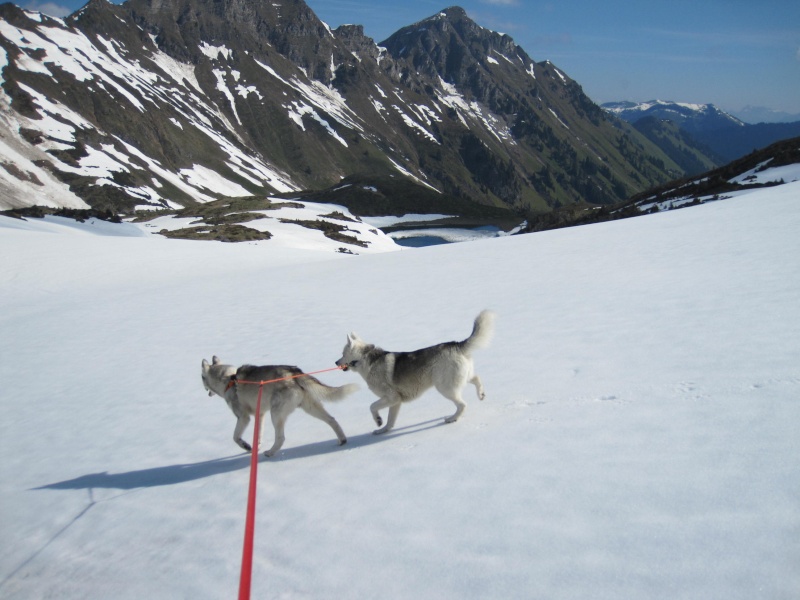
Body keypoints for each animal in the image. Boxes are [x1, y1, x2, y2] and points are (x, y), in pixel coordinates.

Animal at [202, 356, 358, 454]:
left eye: (202, 379)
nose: (206, 394)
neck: (229, 379)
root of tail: (294, 372)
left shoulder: (243, 417)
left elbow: (235, 437)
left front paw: (246, 446)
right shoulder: (260, 415)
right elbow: (258, 435)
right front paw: (255, 448)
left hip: (276, 414)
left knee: (281, 438)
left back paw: (270, 453)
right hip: (310, 407)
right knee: (332, 420)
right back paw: (342, 440)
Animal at [332, 312, 494, 434]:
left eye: (342, 354)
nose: (335, 362)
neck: (364, 358)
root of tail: (456, 345)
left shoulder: (390, 397)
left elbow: (372, 407)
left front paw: (378, 421)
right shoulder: (395, 401)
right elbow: (390, 420)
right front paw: (383, 430)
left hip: (445, 388)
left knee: (462, 405)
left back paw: (452, 419)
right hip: (459, 378)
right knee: (476, 378)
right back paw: (481, 394)